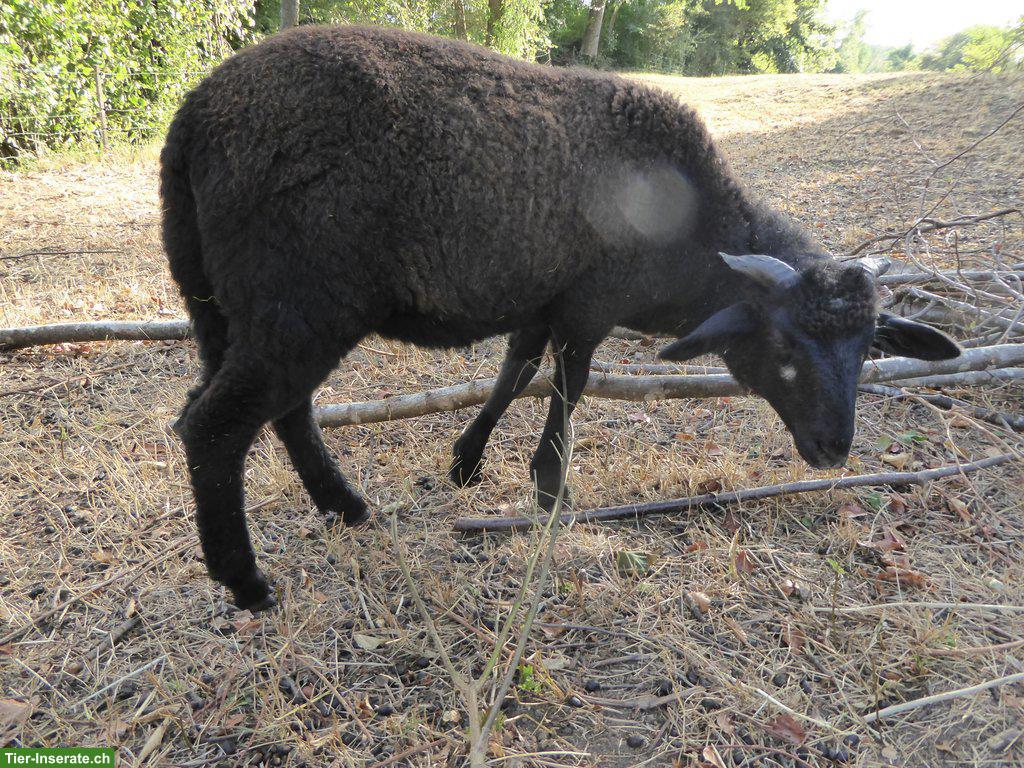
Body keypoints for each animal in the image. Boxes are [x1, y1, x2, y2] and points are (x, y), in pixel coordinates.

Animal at [160, 24, 960, 610]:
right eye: (785, 345)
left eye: (869, 348)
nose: (832, 450)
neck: (691, 229)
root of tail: (195, 116)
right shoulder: (588, 303)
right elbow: (567, 387)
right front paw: (550, 490)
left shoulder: (543, 300)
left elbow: (515, 372)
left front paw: (466, 461)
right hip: (299, 301)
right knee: (217, 425)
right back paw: (247, 583)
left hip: (217, 301)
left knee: (278, 409)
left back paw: (344, 506)